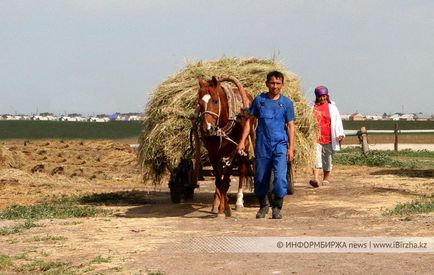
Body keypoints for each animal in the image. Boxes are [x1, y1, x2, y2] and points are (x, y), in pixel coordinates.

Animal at [192, 75, 256, 218]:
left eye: (216, 101)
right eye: (199, 103)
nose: (207, 129)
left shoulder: (233, 152)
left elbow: (226, 180)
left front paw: (226, 208)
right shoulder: (213, 153)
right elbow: (219, 180)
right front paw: (221, 207)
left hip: (244, 147)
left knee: (241, 171)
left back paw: (239, 202)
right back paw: (216, 203)